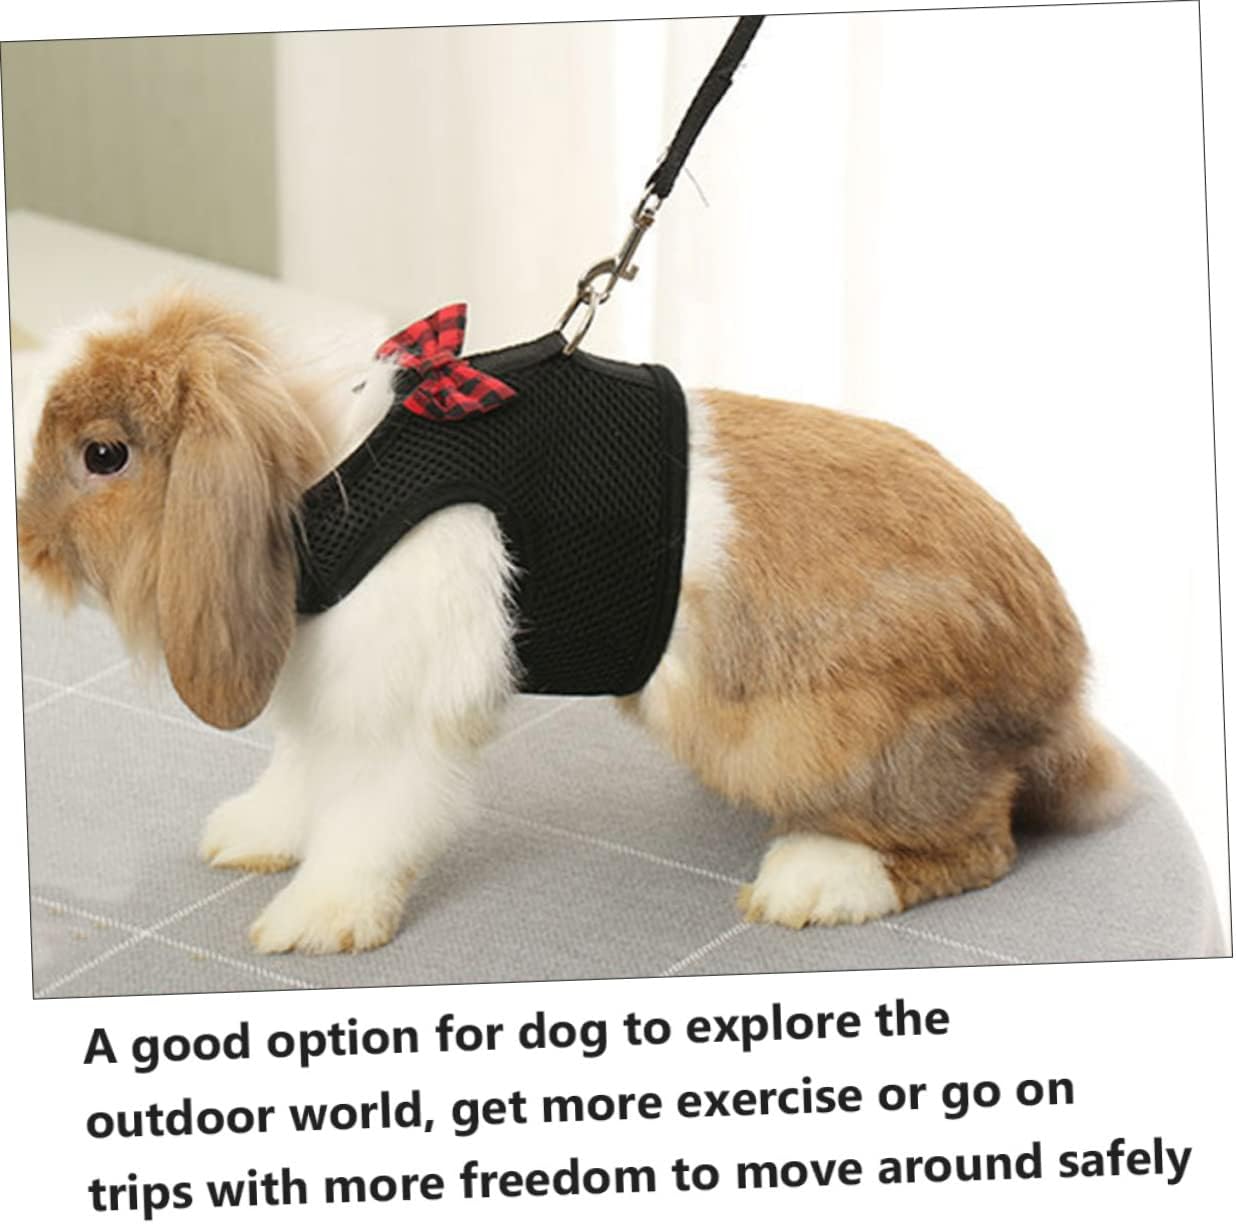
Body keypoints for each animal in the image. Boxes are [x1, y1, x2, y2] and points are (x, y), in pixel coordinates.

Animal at [16, 287, 1127, 954]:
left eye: (104, 455)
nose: (25, 548)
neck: (325, 481)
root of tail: (1060, 677)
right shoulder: (329, 684)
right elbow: (302, 775)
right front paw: (250, 839)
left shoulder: (404, 713)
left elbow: (369, 817)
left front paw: (315, 924)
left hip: (815, 740)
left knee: (982, 842)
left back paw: (816, 881)